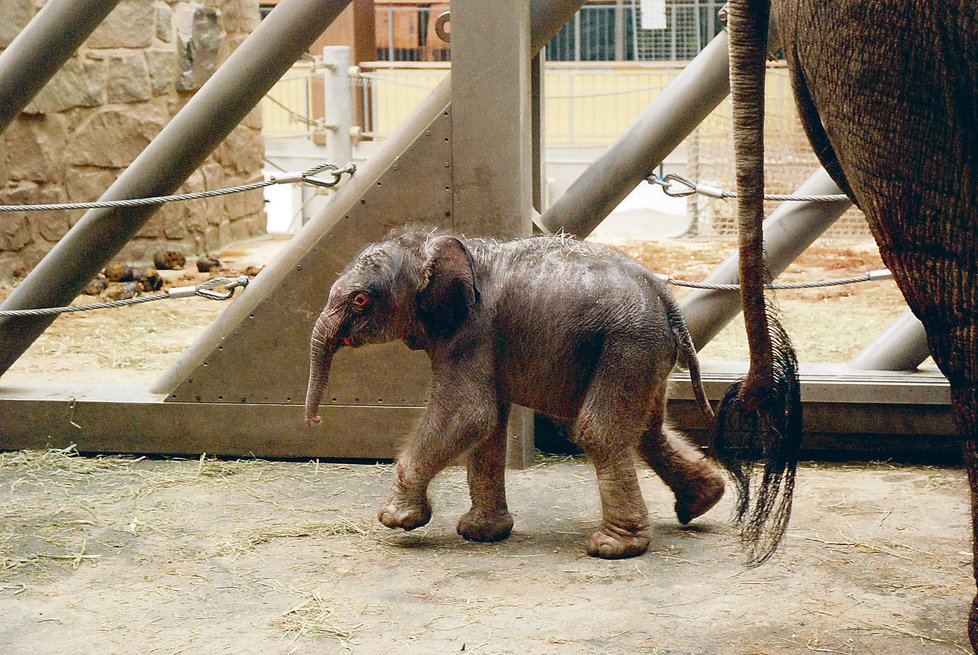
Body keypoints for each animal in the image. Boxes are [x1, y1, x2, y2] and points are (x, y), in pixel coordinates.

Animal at [304, 229, 724, 560]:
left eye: (360, 300)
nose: (315, 419)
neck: (436, 244)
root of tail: (666, 298)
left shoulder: (472, 333)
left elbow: (468, 415)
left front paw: (396, 519)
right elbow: (488, 429)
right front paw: (480, 533)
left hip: (628, 346)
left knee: (598, 433)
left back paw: (612, 547)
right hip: (644, 352)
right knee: (648, 431)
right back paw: (702, 502)